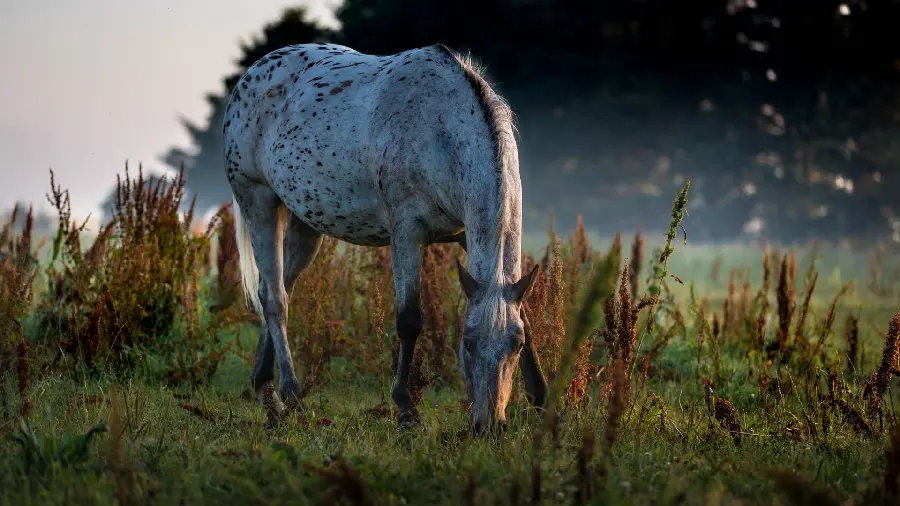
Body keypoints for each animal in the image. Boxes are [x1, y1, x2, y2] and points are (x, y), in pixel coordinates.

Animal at [225, 41, 548, 434]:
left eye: (515, 346)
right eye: (468, 343)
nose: (489, 426)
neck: (441, 132)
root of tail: (253, 74)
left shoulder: (465, 236)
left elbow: (525, 315)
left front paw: (541, 400)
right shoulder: (407, 232)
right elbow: (409, 320)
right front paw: (406, 409)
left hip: (305, 225)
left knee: (274, 289)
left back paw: (264, 389)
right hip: (258, 203)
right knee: (275, 300)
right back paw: (292, 396)